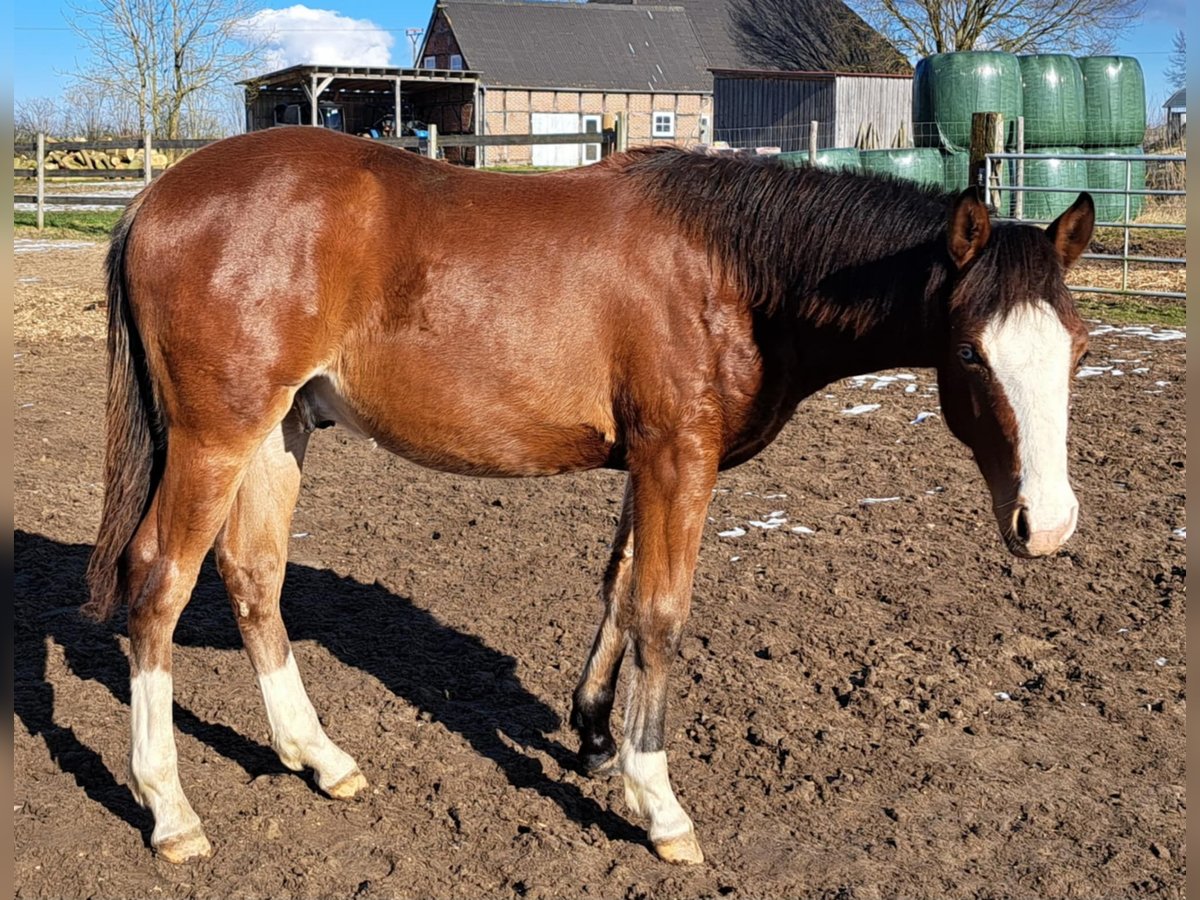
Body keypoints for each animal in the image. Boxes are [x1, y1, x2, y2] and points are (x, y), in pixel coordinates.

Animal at [84, 127, 1099, 868]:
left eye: (1080, 345)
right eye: (971, 353)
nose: (1048, 525)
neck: (731, 268)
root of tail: (157, 199)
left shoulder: (649, 466)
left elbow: (617, 589)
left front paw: (595, 734)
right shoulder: (678, 461)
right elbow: (660, 613)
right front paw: (657, 802)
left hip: (281, 430)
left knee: (254, 576)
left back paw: (319, 759)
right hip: (217, 437)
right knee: (159, 585)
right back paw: (170, 810)